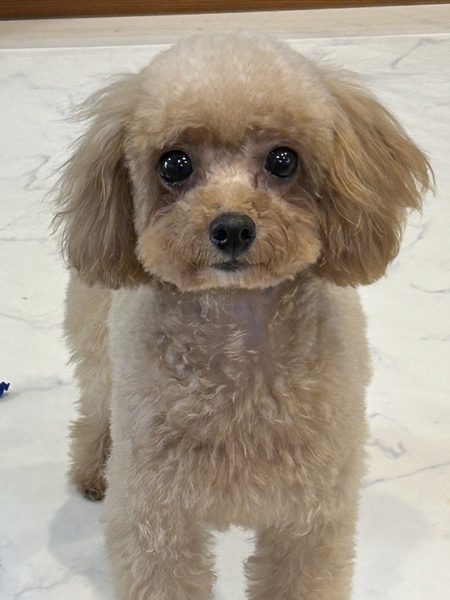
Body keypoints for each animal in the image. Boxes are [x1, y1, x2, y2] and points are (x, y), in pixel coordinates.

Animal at [54, 33, 431, 600]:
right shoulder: (157, 520)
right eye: (174, 164)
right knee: (97, 408)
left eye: (283, 160)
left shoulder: (309, 521)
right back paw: (95, 468)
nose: (231, 228)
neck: (238, 341)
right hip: (101, 353)